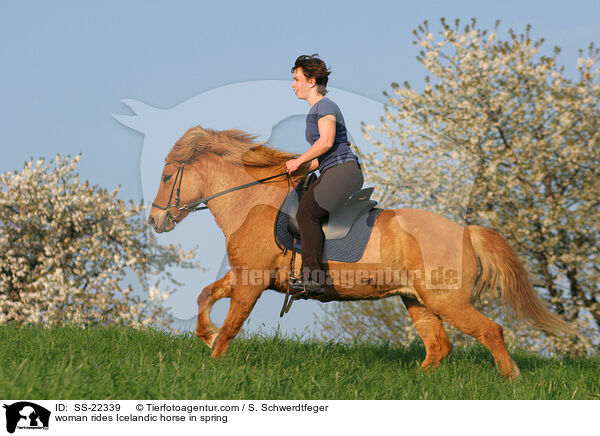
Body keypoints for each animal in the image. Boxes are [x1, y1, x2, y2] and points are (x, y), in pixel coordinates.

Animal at [148, 125, 576, 378]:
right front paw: (205, 336)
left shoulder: (251, 283)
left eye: (167, 176)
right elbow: (206, 296)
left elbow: (232, 326)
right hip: (417, 301)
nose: (155, 221)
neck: (252, 203)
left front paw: (213, 363)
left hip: (448, 301)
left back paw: (511, 379)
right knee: (439, 346)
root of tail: (466, 232)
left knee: (491, 331)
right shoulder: (243, 275)